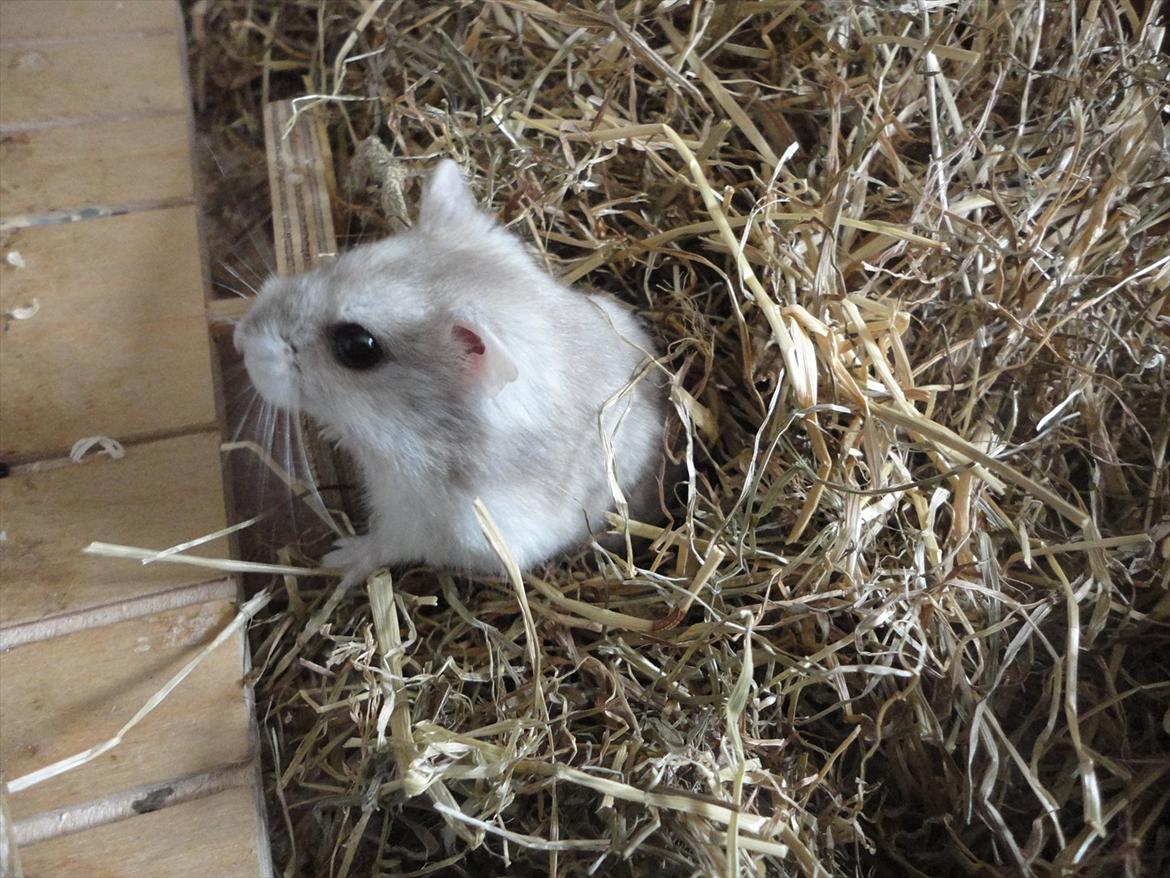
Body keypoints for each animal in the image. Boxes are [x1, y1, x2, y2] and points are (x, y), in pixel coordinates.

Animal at [234, 159, 668, 579]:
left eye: (357, 347)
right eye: (343, 259)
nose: (240, 338)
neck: (411, 430)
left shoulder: (429, 526)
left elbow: (382, 546)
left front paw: (337, 558)